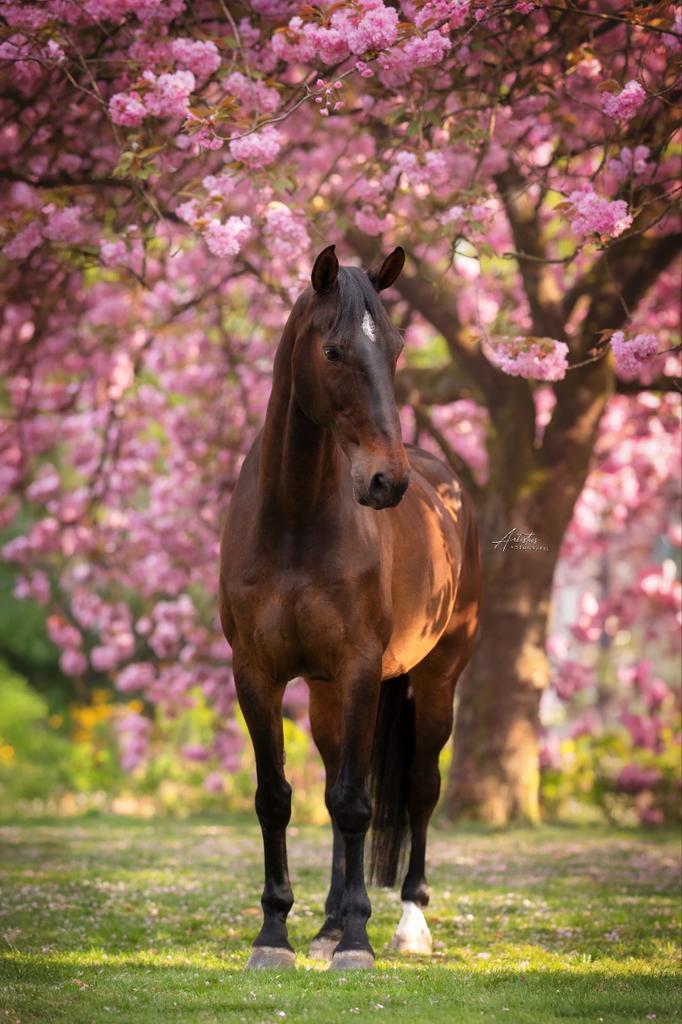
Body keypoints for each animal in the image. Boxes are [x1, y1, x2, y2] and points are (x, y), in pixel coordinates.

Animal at [219, 244, 480, 970]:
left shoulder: (363, 668)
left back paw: (407, 924)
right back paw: (329, 923)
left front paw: (359, 943)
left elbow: (357, 804)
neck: (294, 520)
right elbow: (277, 799)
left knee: (417, 788)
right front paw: (275, 933)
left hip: (436, 681)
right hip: (326, 695)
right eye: (333, 352)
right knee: (337, 779)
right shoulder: (256, 675)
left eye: (395, 347)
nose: (386, 481)